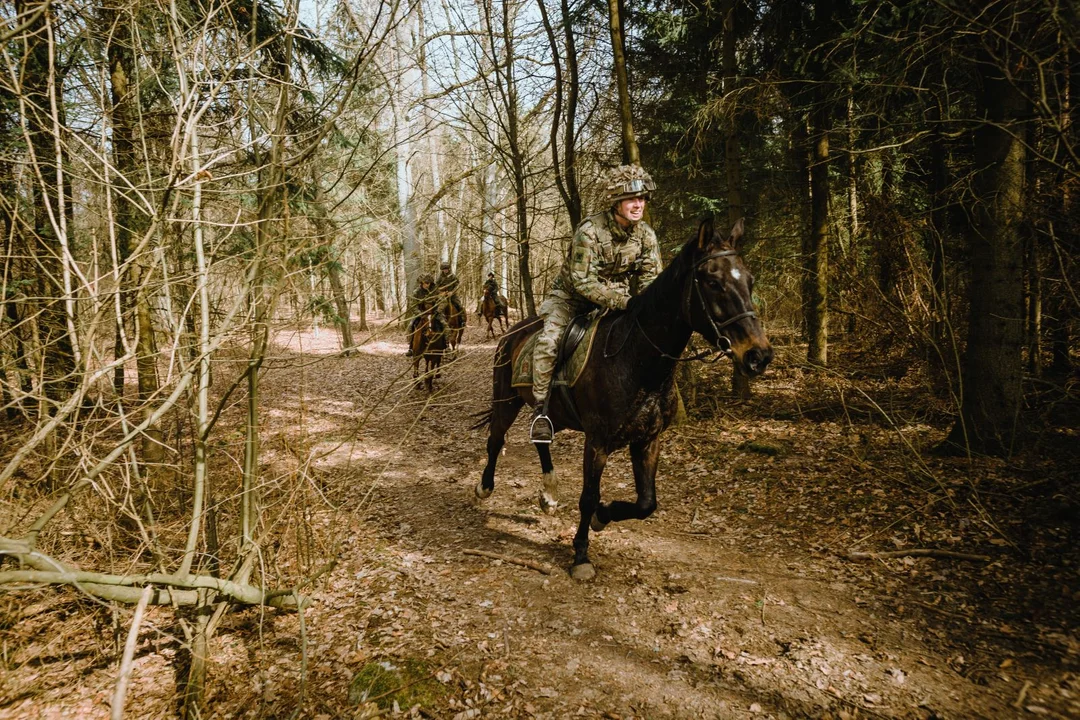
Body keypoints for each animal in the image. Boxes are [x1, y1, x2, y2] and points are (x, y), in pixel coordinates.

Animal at [473, 218, 768, 578]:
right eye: (713, 281)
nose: (758, 355)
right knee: (495, 439)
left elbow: (646, 503)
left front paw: (602, 516)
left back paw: (549, 495)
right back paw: (485, 488)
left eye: (750, 280)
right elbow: (588, 496)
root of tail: (511, 333)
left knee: (540, 438)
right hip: (506, 399)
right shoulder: (597, 442)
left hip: (552, 412)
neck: (637, 360)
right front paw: (581, 555)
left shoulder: (647, 440)